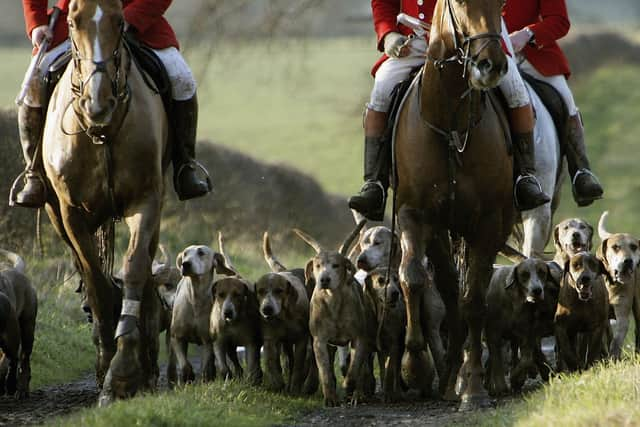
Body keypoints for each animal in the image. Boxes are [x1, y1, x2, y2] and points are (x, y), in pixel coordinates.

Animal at [40, 0, 168, 406]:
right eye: (71, 22)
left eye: (120, 22)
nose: (98, 104)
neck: (102, 132)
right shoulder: (71, 214)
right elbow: (95, 279)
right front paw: (108, 365)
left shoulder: (146, 200)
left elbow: (134, 267)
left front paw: (125, 372)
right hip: (56, 214)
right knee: (88, 272)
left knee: (145, 265)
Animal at [392, 0, 516, 410]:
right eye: (460, 3)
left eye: (501, 5)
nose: (490, 65)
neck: (450, 124)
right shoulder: (414, 214)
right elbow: (412, 276)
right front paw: (414, 364)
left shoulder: (489, 223)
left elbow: (474, 299)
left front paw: (474, 387)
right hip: (439, 231)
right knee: (446, 287)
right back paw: (446, 378)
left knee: (466, 292)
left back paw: (460, 379)